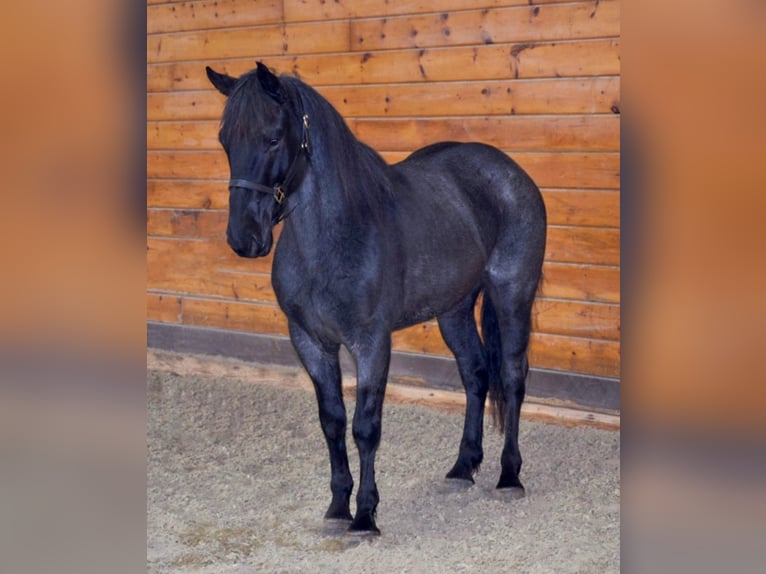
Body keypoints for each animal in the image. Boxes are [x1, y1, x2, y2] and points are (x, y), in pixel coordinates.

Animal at [207, 63, 548, 536]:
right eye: (225, 140)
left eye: (272, 138)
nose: (244, 238)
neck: (333, 240)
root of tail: (510, 172)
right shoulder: (311, 342)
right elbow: (332, 422)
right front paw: (337, 507)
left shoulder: (371, 343)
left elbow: (365, 427)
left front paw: (365, 515)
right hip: (454, 310)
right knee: (476, 374)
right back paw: (463, 467)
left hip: (512, 294)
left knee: (513, 377)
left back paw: (509, 475)